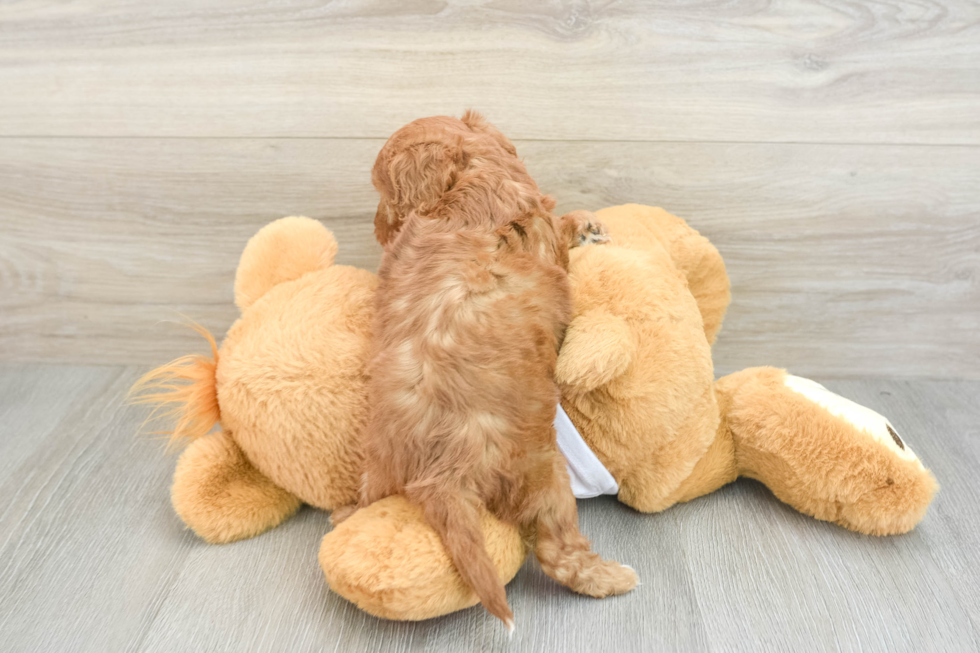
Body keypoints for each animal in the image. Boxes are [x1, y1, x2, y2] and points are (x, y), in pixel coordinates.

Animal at [340, 113, 640, 628]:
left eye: (383, 194)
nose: (378, 227)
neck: (470, 176)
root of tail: (438, 478)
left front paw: (588, 224)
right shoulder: (545, 238)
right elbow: (560, 233)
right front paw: (584, 225)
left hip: (377, 473)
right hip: (543, 472)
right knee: (557, 549)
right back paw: (611, 578)